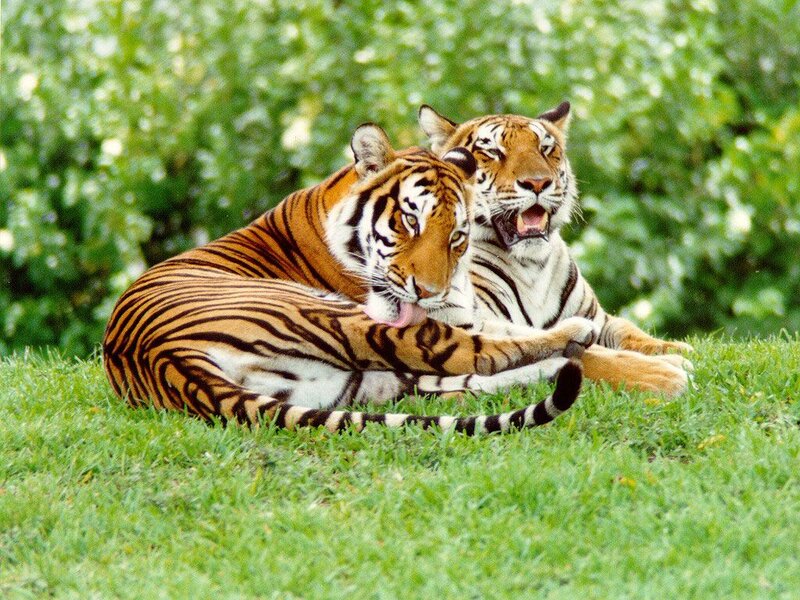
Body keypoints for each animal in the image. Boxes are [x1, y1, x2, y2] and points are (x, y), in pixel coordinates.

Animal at [103, 123, 599, 434]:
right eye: (410, 221)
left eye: (456, 236)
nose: (430, 291)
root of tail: (169, 360)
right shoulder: (448, 316)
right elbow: (500, 338)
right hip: (333, 314)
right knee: (474, 357)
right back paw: (572, 341)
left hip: (357, 382)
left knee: (452, 382)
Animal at [418, 102, 693, 395]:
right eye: (493, 152)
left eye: (545, 149)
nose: (538, 182)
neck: (532, 265)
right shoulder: (477, 323)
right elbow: (587, 354)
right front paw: (665, 374)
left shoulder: (597, 318)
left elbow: (628, 331)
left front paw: (677, 349)